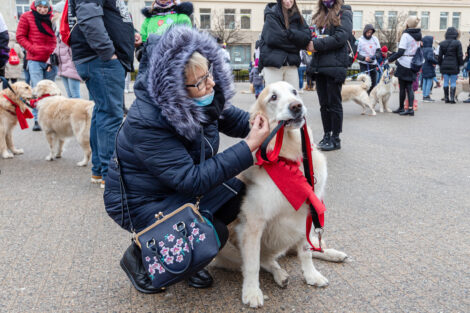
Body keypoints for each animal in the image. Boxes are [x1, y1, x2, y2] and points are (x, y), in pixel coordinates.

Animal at [211, 81, 346, 308]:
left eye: (294, 92)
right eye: (273, 97)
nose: (297, 106)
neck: (288, 156)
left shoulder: (306, 216)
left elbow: (306, 252)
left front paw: (312, 275)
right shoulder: (252, 225)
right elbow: (253, 265)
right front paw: (252, 292)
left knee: (310, 247)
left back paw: (334, 254)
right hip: (228, 246)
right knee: (266, 260)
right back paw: (280, 275)